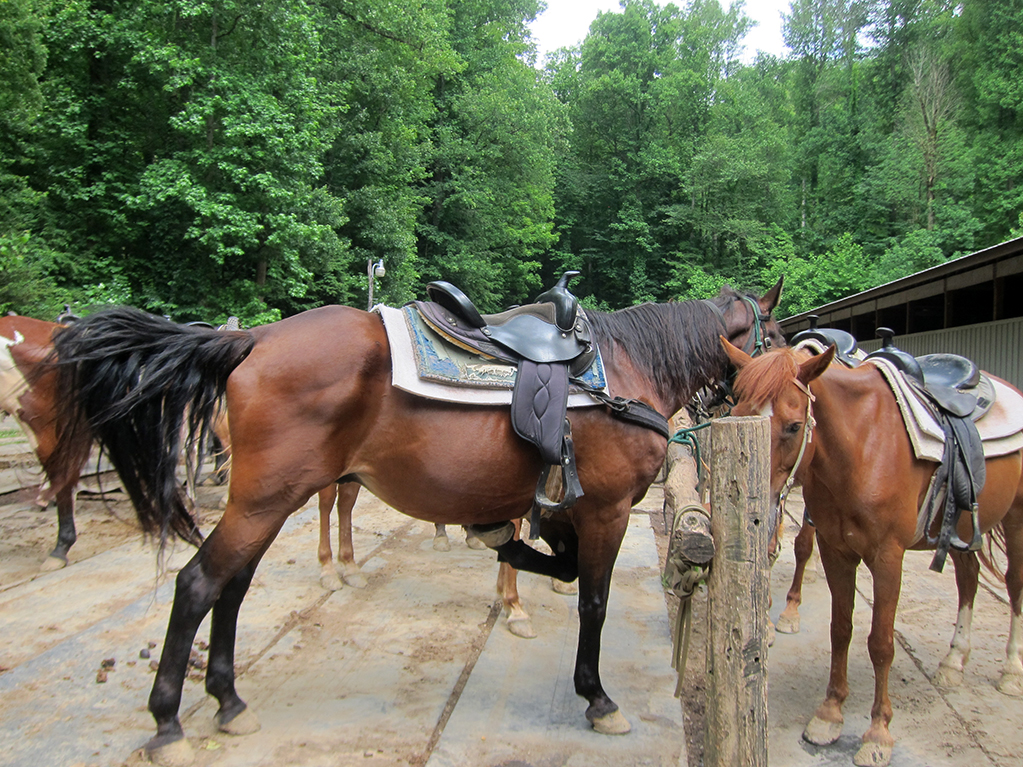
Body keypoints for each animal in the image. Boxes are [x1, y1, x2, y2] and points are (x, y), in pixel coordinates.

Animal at [48, 282, 781, 767]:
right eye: (773, 337)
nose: (767, 410)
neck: (625, 371)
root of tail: (248, 338)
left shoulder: (569, 508)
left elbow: (562, 564)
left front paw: (504, 546)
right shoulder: (605, 508)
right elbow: (592, 600)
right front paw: (596, 697)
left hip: (268, 501)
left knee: (231, 587)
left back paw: (227, 700)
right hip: (264, 500)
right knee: (199, 584)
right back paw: (169, 721)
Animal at [724, 341, 1023, 767]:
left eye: (795, 426)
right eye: (736, 415)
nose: (756, 508)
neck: (863, 446)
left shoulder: (887, 558)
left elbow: (881, 644)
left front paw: (878, 732)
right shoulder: (836, 550)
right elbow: (841, 629)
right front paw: (830, 714)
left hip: (1015, 520)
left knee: (1014, 584)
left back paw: (1011, 671)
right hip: (963, 529)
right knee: (968, 579)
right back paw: (953, 663)